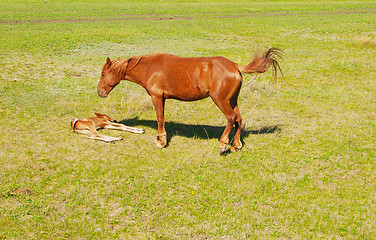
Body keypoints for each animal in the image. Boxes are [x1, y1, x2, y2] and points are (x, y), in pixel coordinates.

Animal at [97, 48, 282, 154]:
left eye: (103, 74)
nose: (100, 92)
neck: (150, 68)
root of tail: (235, 66)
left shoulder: (156, 97)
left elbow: (160, 119)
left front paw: (160, 142)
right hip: (232, 100)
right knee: (239, 119)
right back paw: (236, 145)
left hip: (221, 100)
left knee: (231, 118)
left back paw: (223, 144)